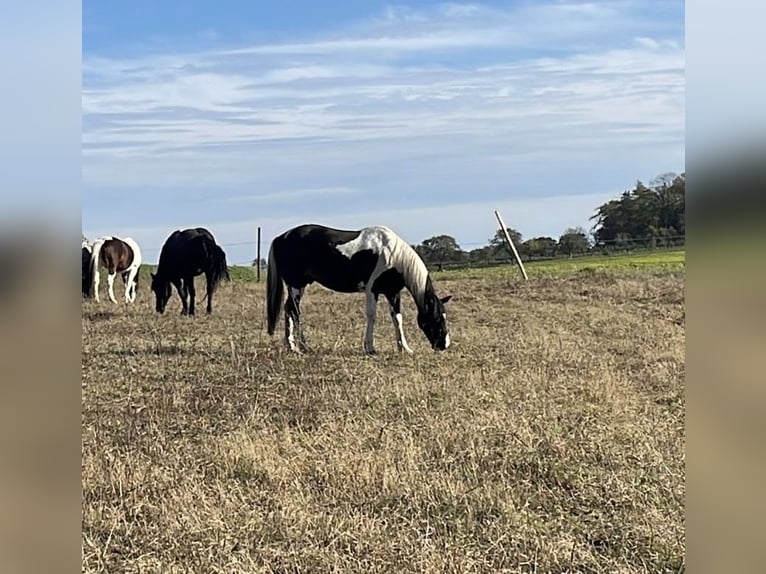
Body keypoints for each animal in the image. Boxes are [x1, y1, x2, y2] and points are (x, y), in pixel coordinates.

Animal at [266, 223, 452, 355]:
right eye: (436, 318)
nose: (444, 345)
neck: (392, 255)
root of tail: (281, 238)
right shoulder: (372, 290)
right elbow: (372, 316)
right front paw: (370, 348)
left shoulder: (392, 292)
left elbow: (397, 318)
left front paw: (404, 348)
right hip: (296, 285)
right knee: (294, 311)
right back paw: (302, 347)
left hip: (298, 286)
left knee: (288, 309)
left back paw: (292, 346)